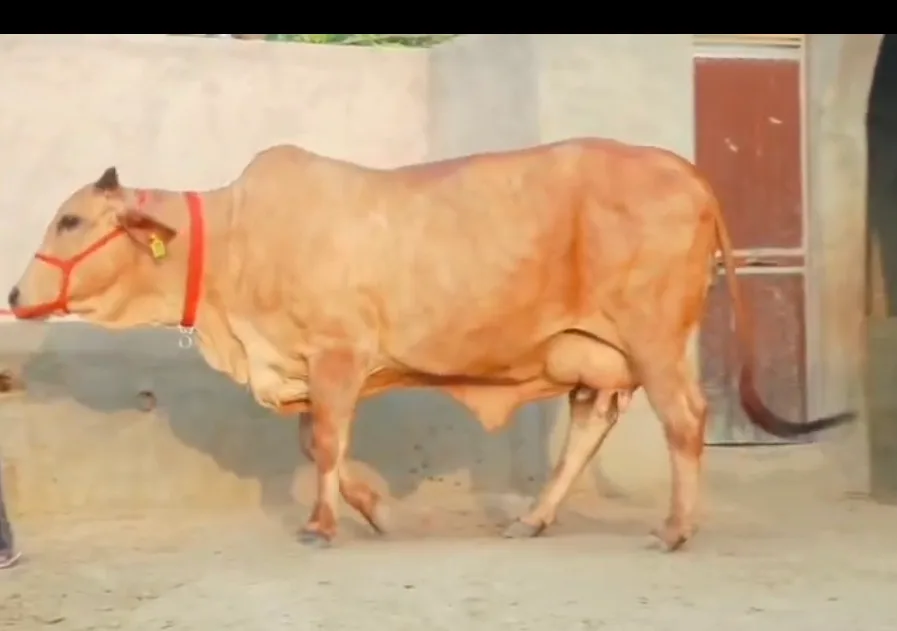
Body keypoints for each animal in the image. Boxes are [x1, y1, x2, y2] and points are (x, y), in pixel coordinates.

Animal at [7, 138, 853, 551]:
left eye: (72, 219)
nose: (15, 295)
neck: (235, 245)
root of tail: (684, 169)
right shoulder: (312, 367)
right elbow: (321, 444)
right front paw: (374, 510)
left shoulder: (338, 353)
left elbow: (324, 440)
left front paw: (323, 525)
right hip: (597, 353)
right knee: (589, 427)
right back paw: (533, 519)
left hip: (652, 336)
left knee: (684, 420)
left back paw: (674, 529)